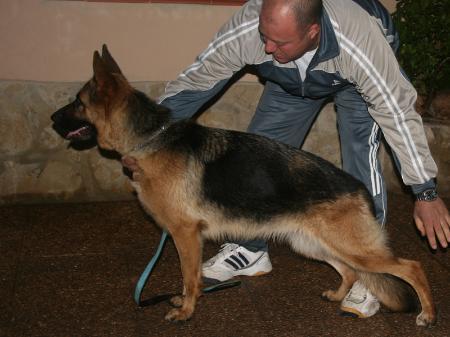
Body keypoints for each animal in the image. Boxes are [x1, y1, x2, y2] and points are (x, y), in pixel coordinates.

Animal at [51, 45, 436, 326]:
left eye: (78, 103)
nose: (52, 118)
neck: (150, 139)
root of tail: (359, 189)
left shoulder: (185, 235)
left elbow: (189, 277)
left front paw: (186, 311)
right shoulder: (185, 236)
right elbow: (190, 277)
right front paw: (186, 301)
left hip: (354, 248)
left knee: (411, 267)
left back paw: (427, 314)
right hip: (313, 244)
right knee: (351, 272)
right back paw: (339, 296)